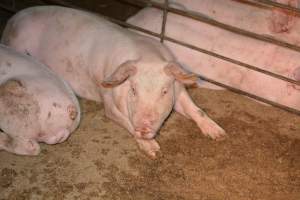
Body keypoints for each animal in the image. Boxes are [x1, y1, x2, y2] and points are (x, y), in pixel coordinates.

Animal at [2, 5, 226, 158]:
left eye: (164, 91)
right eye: (133, 89)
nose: (144, 128)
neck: (148, 57)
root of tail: (13, 19)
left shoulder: (178, 89)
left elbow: (195, 110)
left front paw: (219, 134)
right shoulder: (108, 103)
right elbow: (122, 120)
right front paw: (154, 151)